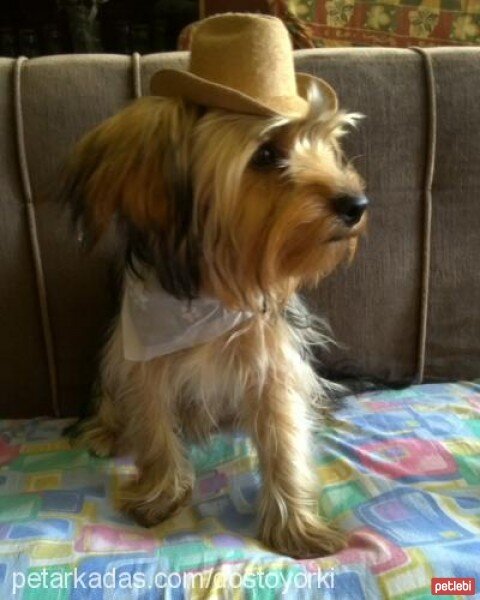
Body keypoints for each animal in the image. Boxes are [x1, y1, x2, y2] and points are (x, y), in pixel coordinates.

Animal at [61, 12, 368, 556]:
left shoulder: (272, 361)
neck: (210, 293)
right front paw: (161, 494)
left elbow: (283, 438)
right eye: (265, 154)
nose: (356, 205)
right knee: (118, 399)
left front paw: (296, 527)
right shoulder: (143, 361)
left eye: (326, 146)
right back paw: (106, 429)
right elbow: (153, 425)